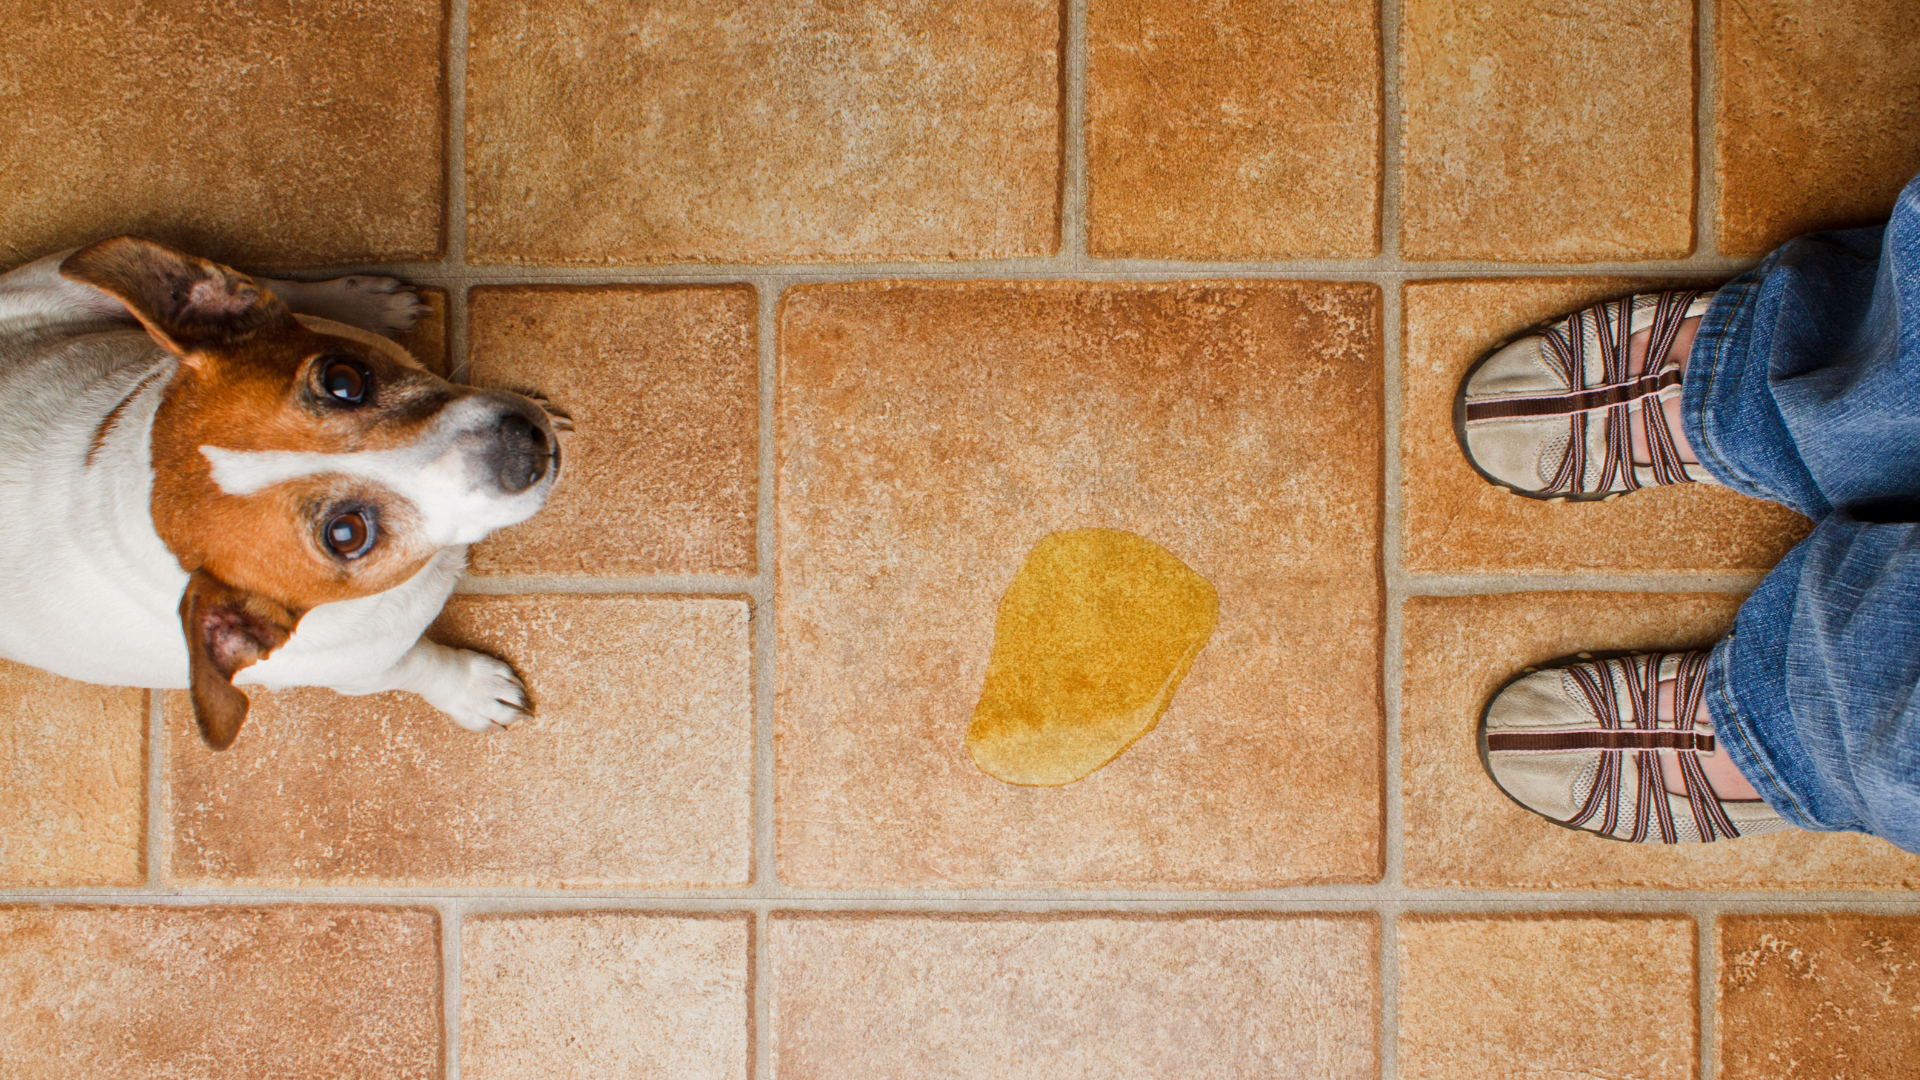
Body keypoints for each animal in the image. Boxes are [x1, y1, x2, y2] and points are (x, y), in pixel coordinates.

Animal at [0, 233, 564, 749]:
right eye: (345, 534)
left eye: (343, 379)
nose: (523, 446)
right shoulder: (363, 670)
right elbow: (423, 665)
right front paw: (472, 690)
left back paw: (364, 302)